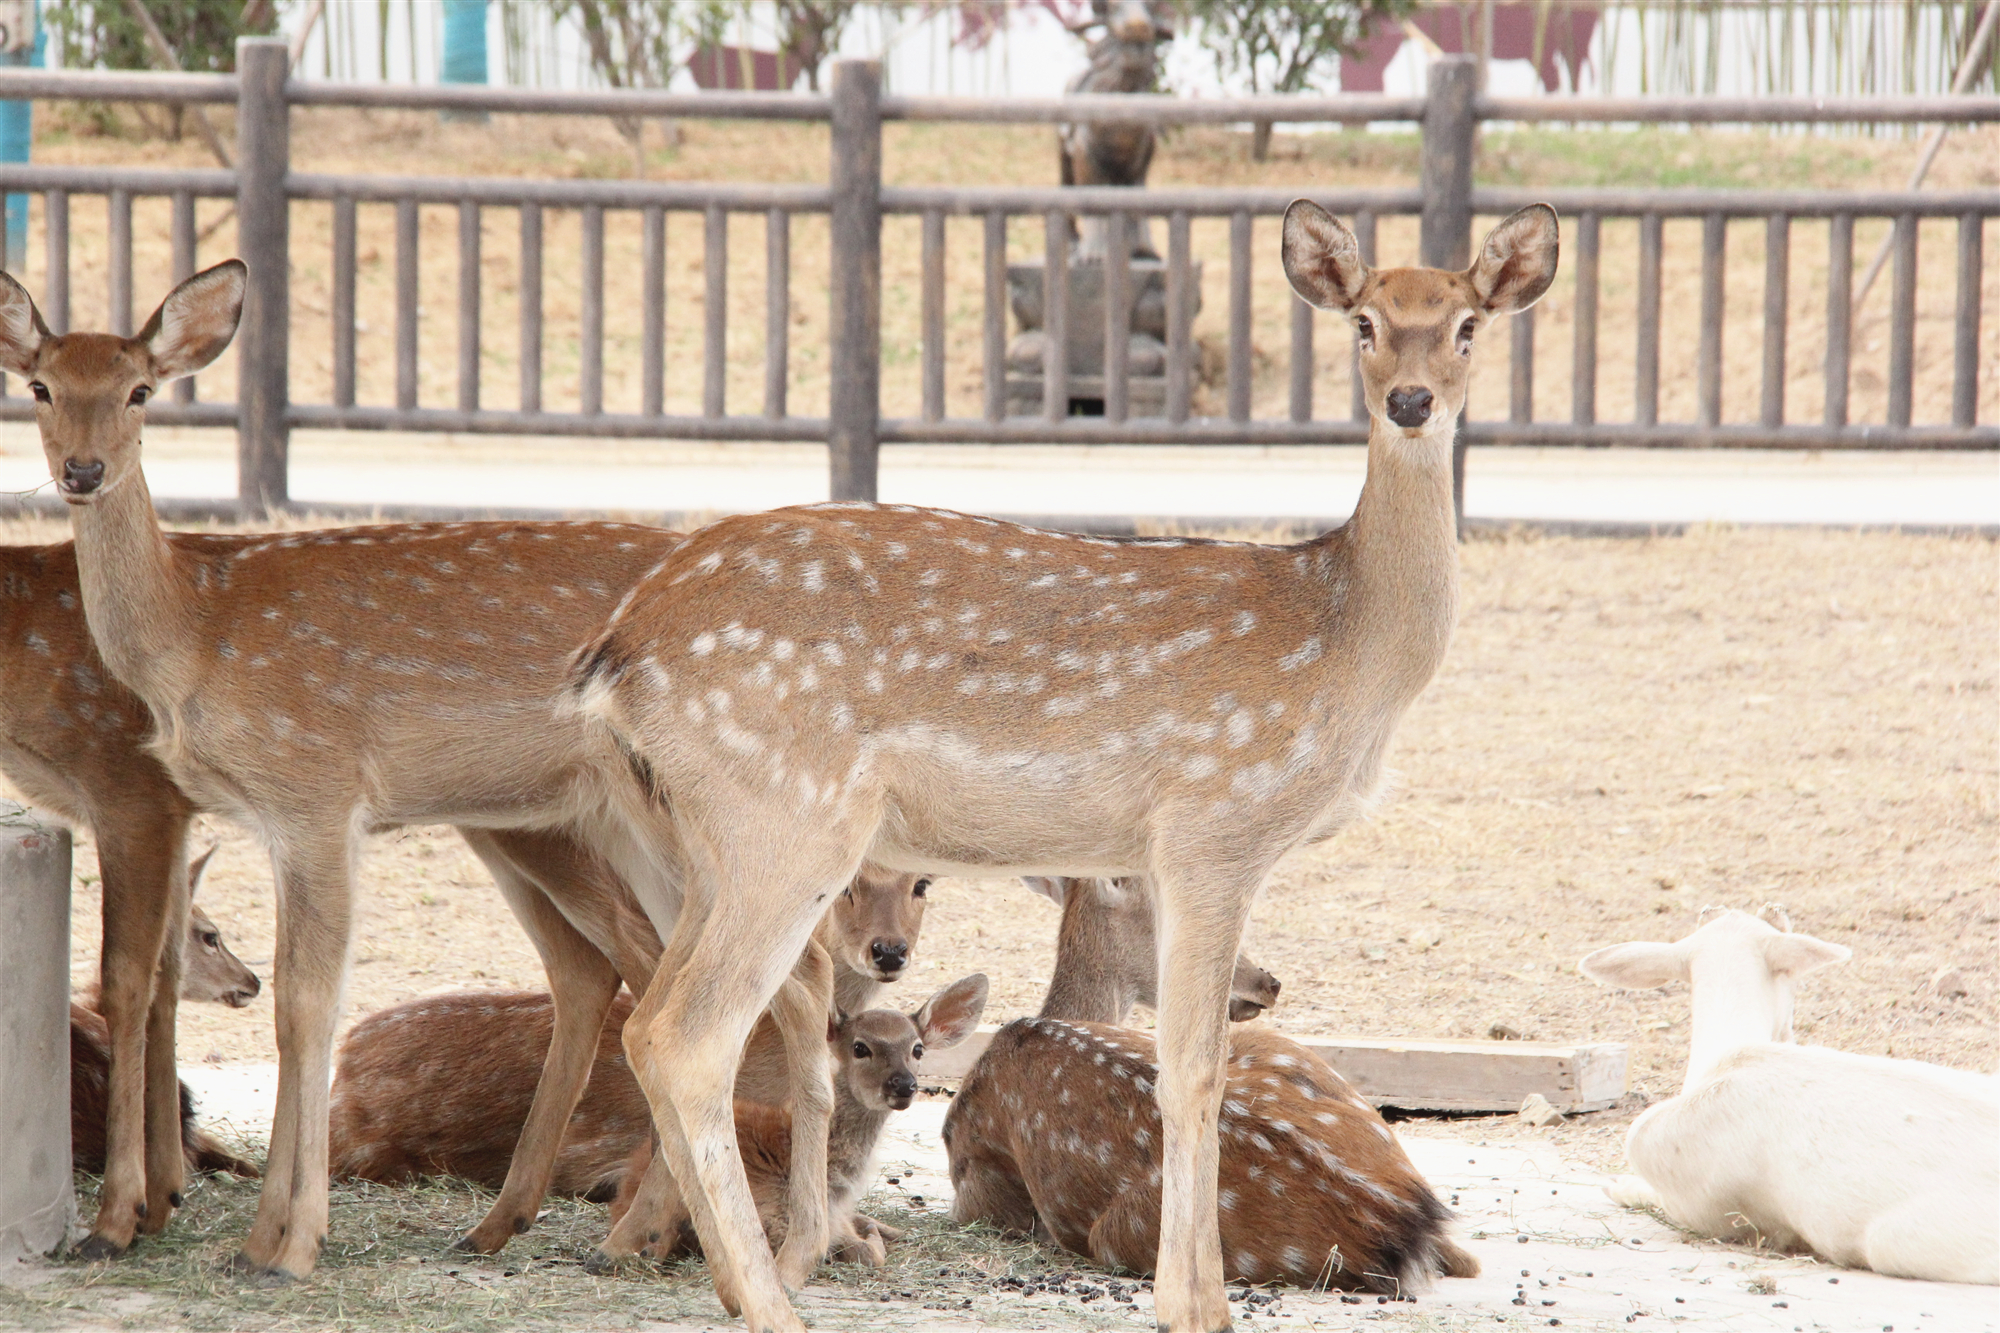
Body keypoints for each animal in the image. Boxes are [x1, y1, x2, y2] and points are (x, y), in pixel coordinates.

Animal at [564, 200, 1560, 1328]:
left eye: (1469, 323)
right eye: (1362, 321)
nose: (1410, 399)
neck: (1345, 652)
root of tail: (616, 651)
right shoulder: (1215, 822)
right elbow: (1193, 1069)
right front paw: (1195, 1306)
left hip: (694, 834)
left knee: (651, 1018)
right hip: (788, 813)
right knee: (686, 1035)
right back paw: (774, 1301)